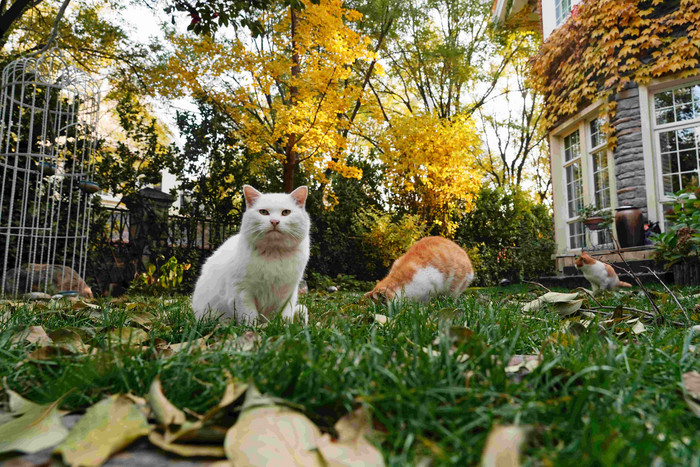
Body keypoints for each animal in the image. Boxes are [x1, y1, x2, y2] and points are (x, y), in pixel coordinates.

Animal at [193, 186, 310, 326]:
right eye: (263, 212)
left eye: (286, 212)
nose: (274, 221)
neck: (274, 253)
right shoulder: (241, 292)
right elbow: (249, 317)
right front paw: (254, 328)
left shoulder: (288, 295)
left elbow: (283, 317)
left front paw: (279, 327)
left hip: (302, 308)